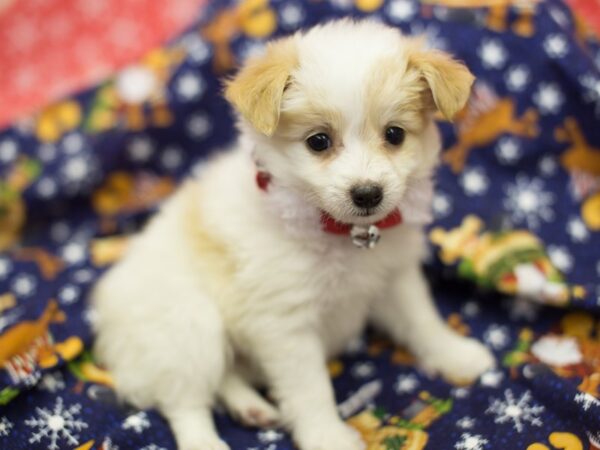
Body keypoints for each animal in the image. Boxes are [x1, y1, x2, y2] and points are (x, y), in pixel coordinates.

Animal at [94, 20, 494, 450]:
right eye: (318, 141)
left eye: (395, 135)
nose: (368, 193)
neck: (345, 236)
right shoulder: (286, 325)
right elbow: (310, 389)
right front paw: (329, 437)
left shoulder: (396, 279)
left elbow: (424, 322)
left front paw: (457, 355)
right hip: (189, 329)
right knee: (185, 403)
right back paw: (208, 441)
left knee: (225, 378)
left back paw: (251, 408)